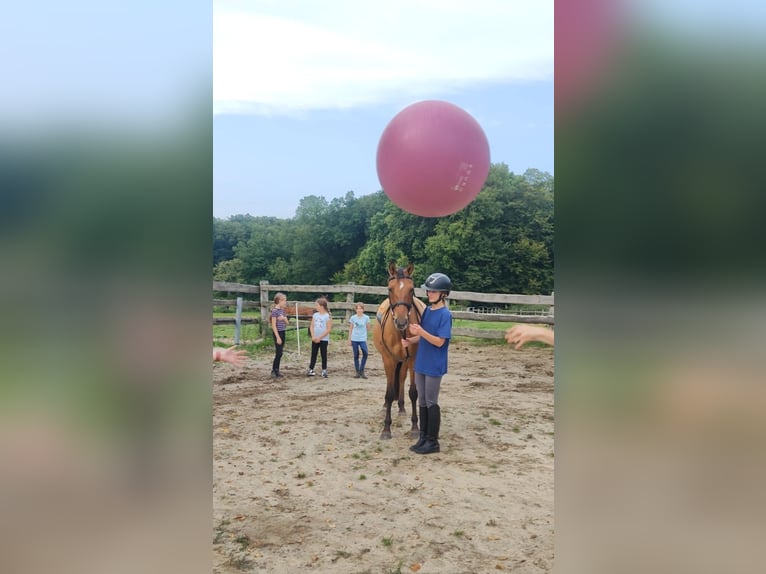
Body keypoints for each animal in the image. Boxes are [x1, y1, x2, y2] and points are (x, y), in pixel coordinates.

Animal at [372, 264, 426, 444]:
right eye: (390, 289)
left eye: (411, 289)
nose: (401, 322)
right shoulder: (389, 360)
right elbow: (389, 393)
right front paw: (386, 429)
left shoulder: (413, 360)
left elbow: (414, 393)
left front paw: (415, 427)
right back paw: (385, 407)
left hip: (404, 362)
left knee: (401, 379)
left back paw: (402, 407)